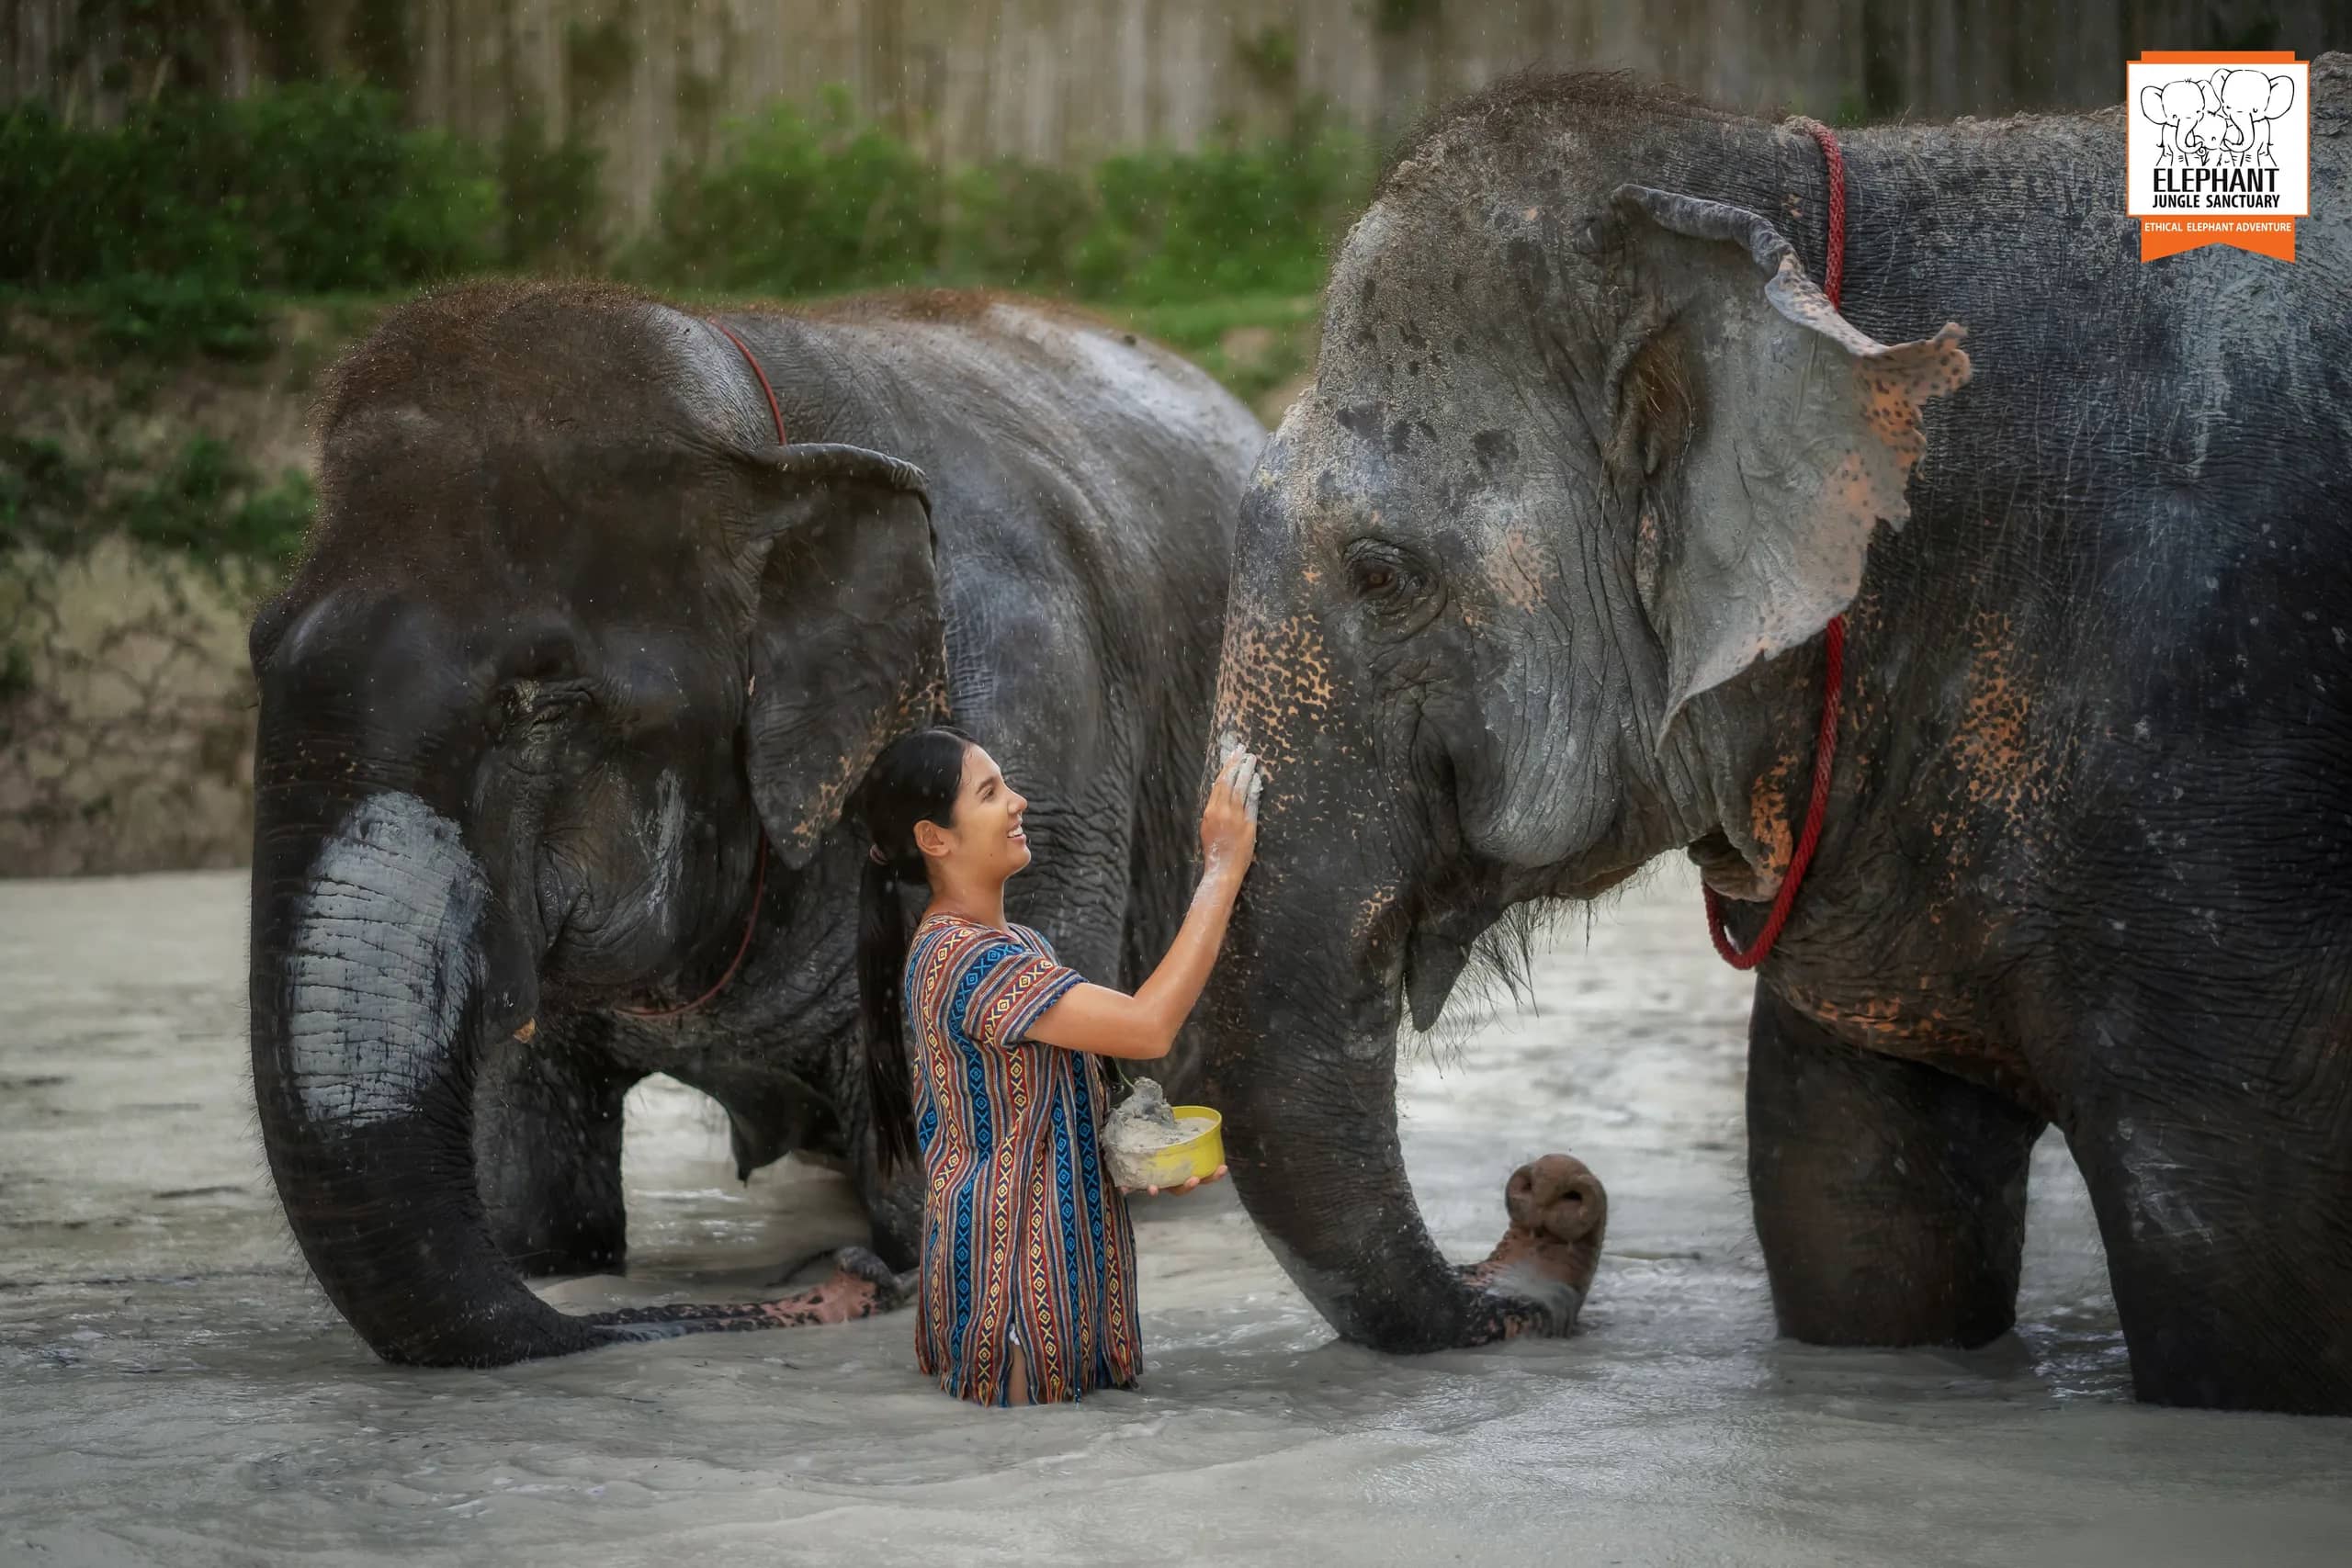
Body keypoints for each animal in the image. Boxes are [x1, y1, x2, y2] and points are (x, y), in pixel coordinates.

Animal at [247, 280, 1263, 1367]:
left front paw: (890, 1257)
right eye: (260, 648)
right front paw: (559, 1258)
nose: (838, 1285)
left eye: (547, 698)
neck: (750, 428)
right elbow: (537, 1205)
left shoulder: (1040, 734)